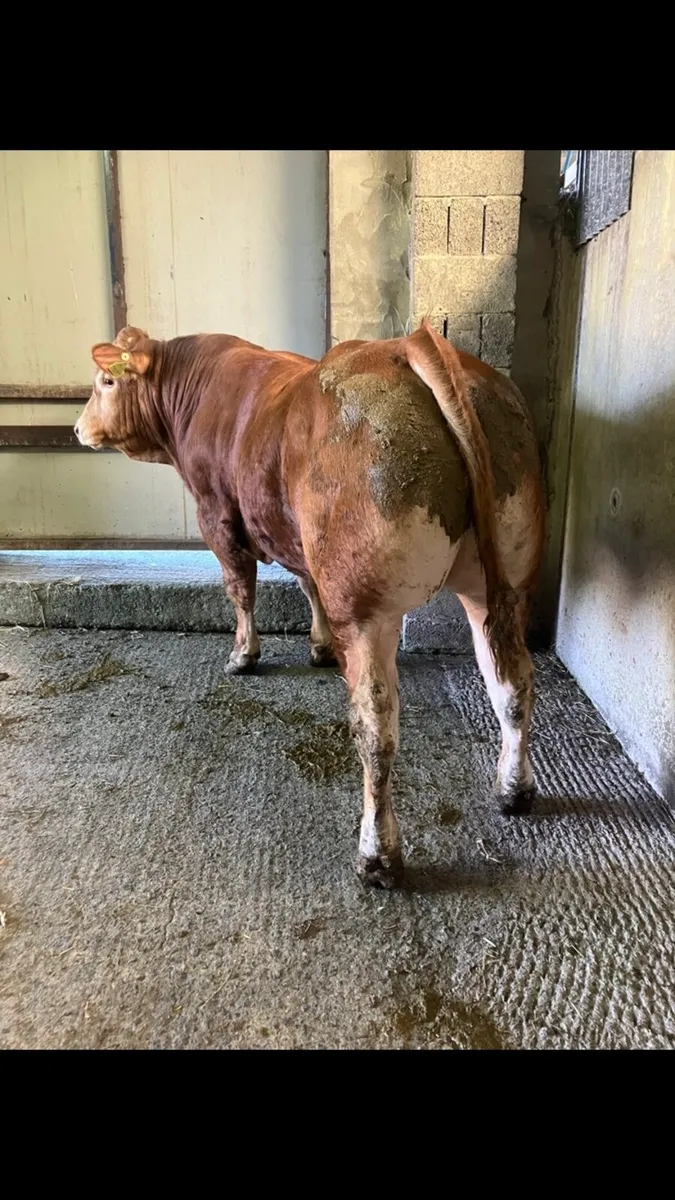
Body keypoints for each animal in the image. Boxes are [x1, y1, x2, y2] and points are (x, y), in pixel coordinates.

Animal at [75, 321, 544, 889]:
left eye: (105, 381)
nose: (77, 429)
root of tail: (410, 343)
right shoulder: (293, 533)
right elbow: (305, 584)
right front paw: (318, 647)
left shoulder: (217, 515)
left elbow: (241, 588)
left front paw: (243, 655)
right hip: (504, 582)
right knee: (513, 684)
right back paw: (513, 789)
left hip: (365, 608)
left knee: (376, 728)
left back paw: (377, 857)